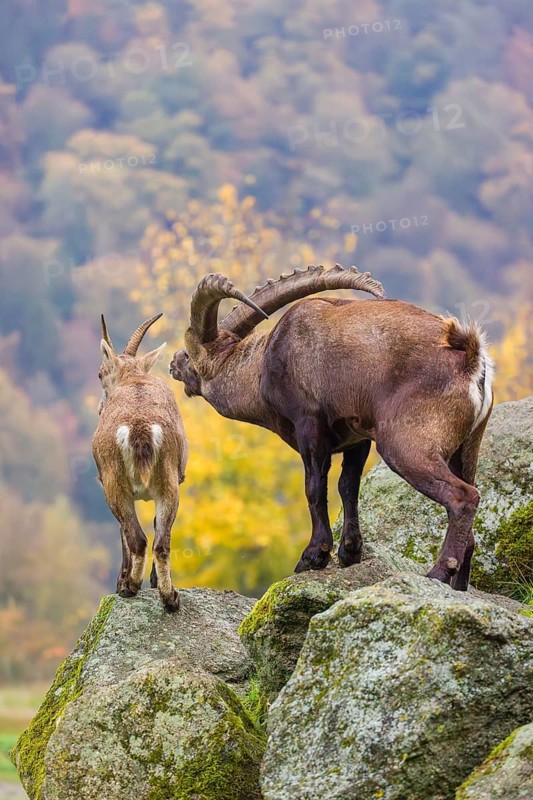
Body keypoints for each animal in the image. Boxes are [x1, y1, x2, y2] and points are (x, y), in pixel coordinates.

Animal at [93, 314, 188, 612]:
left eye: (100, 374)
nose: (100, 407)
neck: (135, 379)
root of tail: (140, 426)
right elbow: (157, 525)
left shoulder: (106, 483)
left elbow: (124, 534)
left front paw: (121, 581)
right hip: (169, 483)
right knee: (161, 542)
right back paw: (170, 598)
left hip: (115, 483)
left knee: (137, 539)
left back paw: (129, 587)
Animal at [170, 265, 494, 591]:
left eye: (190, 355)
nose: (173, 362)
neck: (263, 365)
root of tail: (470, 359)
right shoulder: (357, 438)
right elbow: (348, 486)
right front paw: (350, 551)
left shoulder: (309, 426)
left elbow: (314, 487)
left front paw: (314, 555)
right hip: (465, 449)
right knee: (470, 525)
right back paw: (459, 585)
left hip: (407, 446)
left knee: (464, 498)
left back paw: (438, 573)